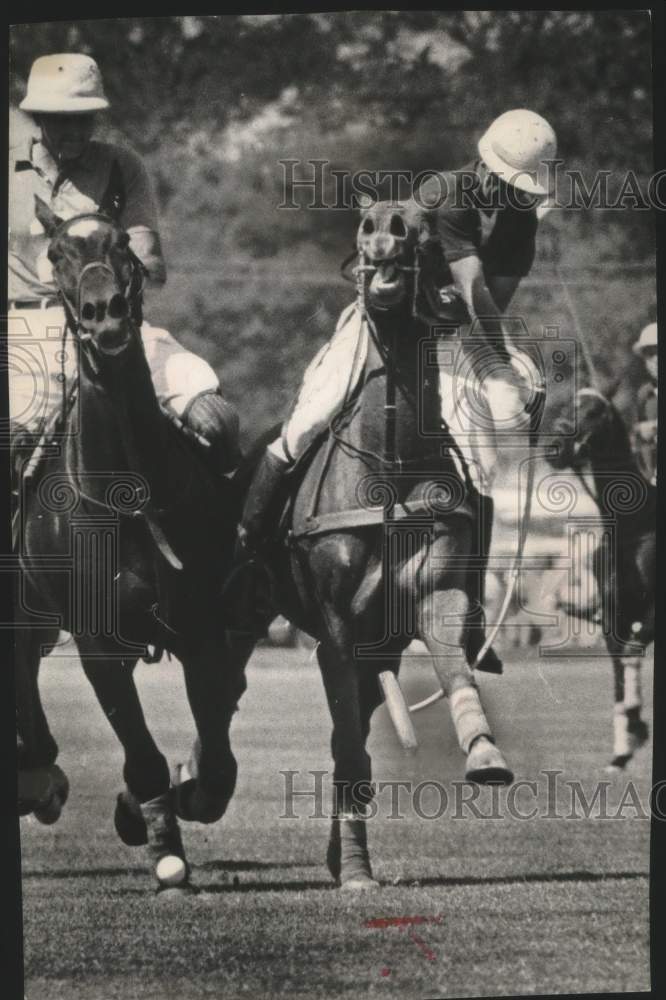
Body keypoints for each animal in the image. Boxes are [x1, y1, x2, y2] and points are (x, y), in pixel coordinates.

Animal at [13, 195, 252, 892]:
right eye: (57, 253)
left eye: (122, 244)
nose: (105, 314)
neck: (129, 496)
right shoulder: (97, 641)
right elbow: (140, 753)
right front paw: (160, 841)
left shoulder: (202, 626)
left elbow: (217, 759)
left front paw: (172, 798)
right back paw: (37, 776)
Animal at [252, 199, 510, 888]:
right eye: (364, 225)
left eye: (425, 230)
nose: (386, 229)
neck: (388, 468)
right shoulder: (339, 628)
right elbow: (349, 744)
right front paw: (358, 870)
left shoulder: (437, 593)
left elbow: (453, 666)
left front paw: (484, 753)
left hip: (383, 648)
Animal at [548, 386, 652, 768]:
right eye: (566, 406)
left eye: (595, 412)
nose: (555, 448)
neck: (633, 526)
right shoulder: (611, 621)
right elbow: (620, 673)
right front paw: (624, 745)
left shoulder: (651, 616)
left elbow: (632, 654)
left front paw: (636, 725)